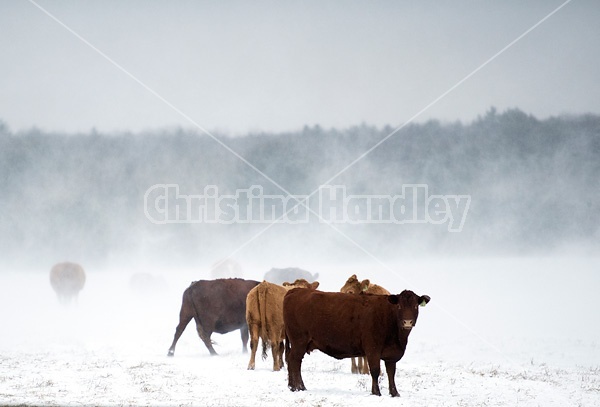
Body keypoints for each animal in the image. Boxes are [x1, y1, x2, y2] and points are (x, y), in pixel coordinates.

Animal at [284, 288, 428, 396]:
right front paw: (376, 392)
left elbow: (391, 373)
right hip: (299, 341)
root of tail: (296, 290)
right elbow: (375, 371)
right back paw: (299, 387)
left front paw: (395, 393)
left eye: (415, 306)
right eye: (399, 306)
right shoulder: (372, 349)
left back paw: (292, 386)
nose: (407, 322)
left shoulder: (391, 355)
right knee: (294, 361)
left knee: (292, 361)